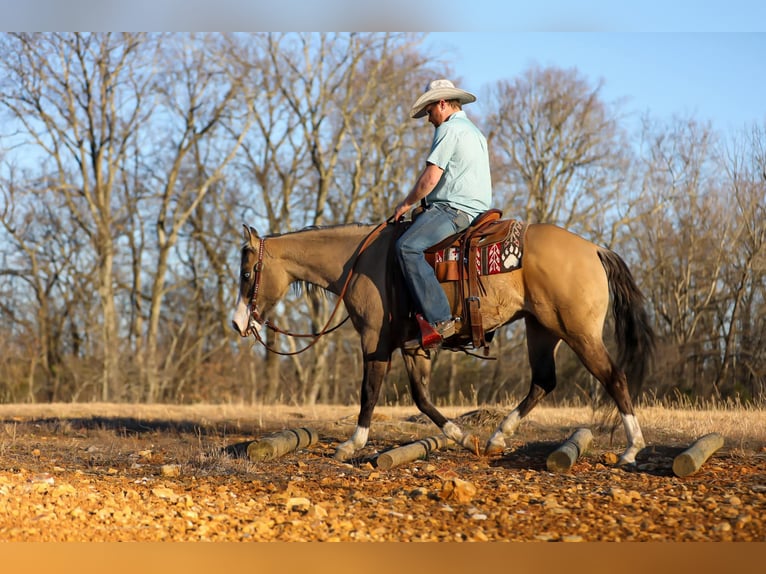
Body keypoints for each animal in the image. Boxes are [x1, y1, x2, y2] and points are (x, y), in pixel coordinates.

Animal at [231, 218, 655, 466]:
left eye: (248, 273)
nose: (237, 323)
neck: (361, 263)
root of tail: (594, 249)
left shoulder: (375, 339)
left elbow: (370, 392)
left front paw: (352, 444)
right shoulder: (414, 347)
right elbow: (421, 398)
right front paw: (463, 438)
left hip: (578, 332)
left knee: (613, 377)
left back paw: (632, 448)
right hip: (542, 329)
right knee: (543, 382)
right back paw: (498, 436)